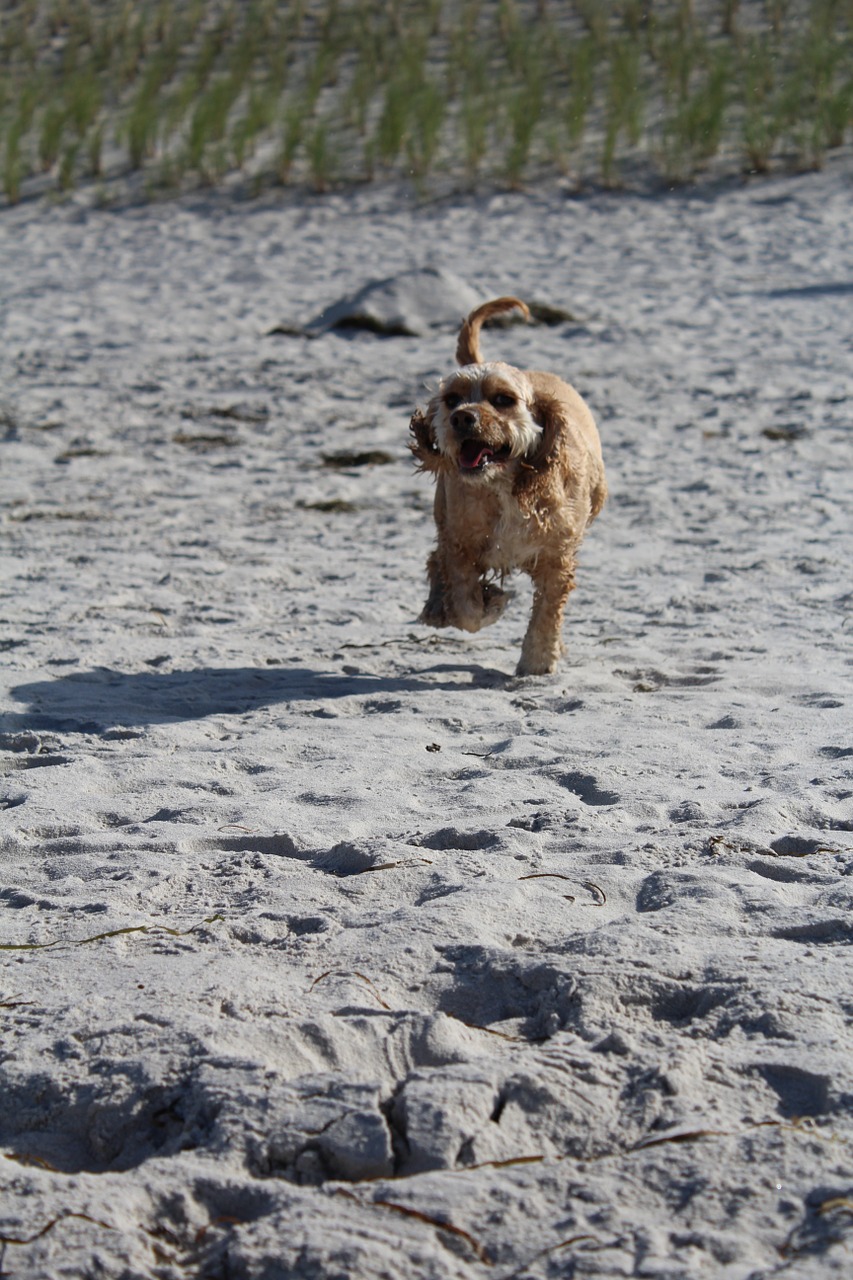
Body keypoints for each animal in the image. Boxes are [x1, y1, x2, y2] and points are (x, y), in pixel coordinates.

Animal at [407, 294, 601, 675]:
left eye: (503, 400)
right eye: (452, 399)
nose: (461, 418)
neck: (503, 488)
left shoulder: (557, 557)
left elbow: (547, 612)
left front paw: (537, 663)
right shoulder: (460, 543)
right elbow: (466, 607)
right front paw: (490, 602)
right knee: (436, 561)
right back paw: (437, 606)